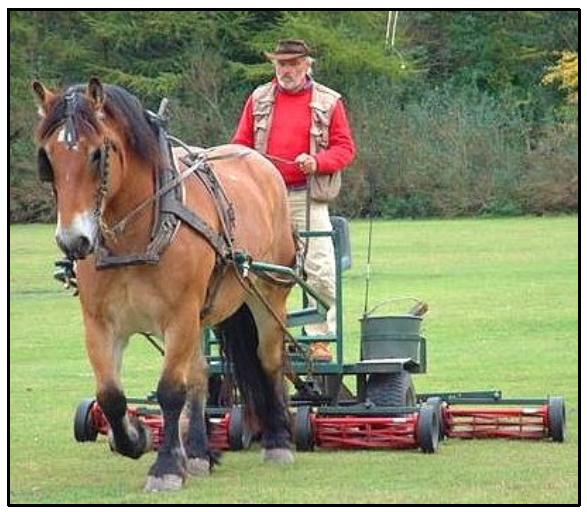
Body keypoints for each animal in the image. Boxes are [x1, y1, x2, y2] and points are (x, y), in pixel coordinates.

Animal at [32, 79, 298, 492]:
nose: (74, 241)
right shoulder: (100, 323)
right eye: (48, 158)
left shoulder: (179, 316)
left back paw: (278, 441)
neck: (136, 238)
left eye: (97, 154)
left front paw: (168, 466)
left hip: (268, 291)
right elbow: (110, 395)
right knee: (201, 375)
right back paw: (200, 451)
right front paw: (136, 436)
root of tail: (257, 160)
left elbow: (171, 390)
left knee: (268, 359)